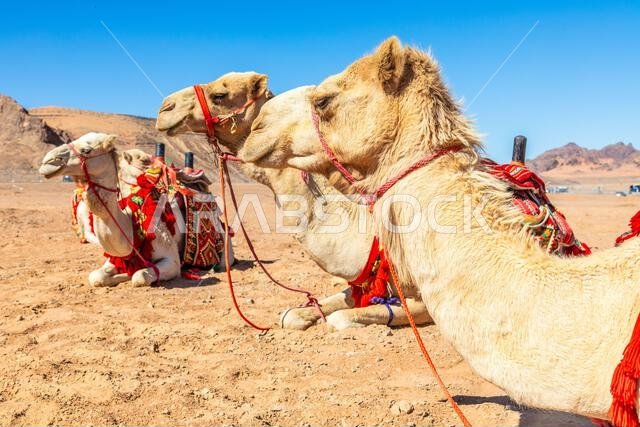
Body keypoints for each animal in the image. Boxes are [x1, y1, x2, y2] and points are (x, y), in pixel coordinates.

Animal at [40, 132, 232, 287]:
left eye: (86, 150)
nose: (47, 161)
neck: (131, 222)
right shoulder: (114, 258)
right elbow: (96, 277)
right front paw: (119, 275)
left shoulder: (172, 261)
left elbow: (140, 277)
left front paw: (129, 275)